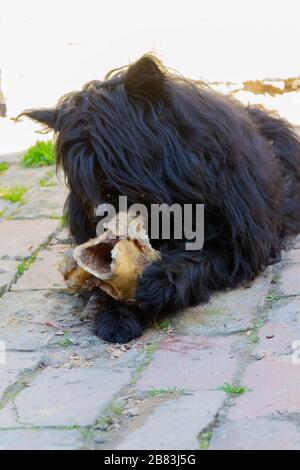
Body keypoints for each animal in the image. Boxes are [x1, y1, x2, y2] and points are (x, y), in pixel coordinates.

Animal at [22, 55, 300, 344]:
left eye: (115, 162)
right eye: (81, 181)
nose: (101, 218)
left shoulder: (239, 241)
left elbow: (204, 256)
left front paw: (160, 281)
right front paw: (116, 313)